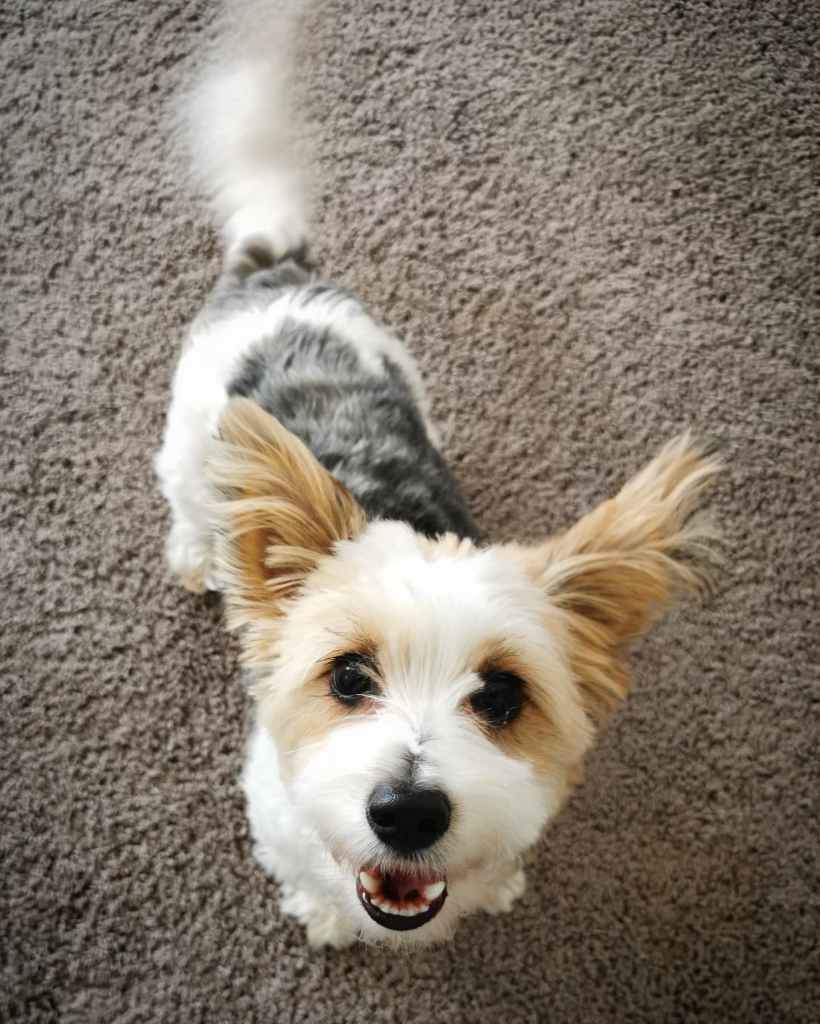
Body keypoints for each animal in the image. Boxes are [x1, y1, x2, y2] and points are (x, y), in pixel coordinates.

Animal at [155, 6, 721, 948]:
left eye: (501, 695)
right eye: (348, 677)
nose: (407, 812)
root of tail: (277, 273)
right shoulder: (276, 811)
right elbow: (307, 869)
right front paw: (323, 913)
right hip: (187, 437)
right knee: (193, 501)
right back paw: (202, 552)